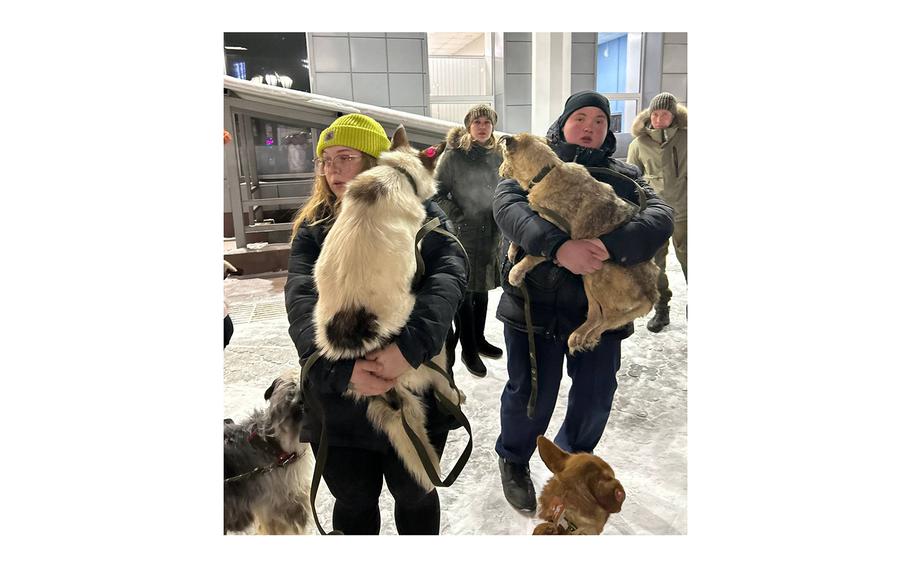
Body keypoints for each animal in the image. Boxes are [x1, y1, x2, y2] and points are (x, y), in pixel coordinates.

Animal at [502, 135, 660, 352]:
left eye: (502, 155)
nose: (500, 171)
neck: (547, 172)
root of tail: (650, 294)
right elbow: (521, 237)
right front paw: (512, 250)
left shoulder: (560, 233)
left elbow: (533, 255)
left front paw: (516, 272)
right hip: (587, 279)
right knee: (595, 314)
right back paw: (579, 335)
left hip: (599, 273)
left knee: (609, 316)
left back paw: (589, 336)